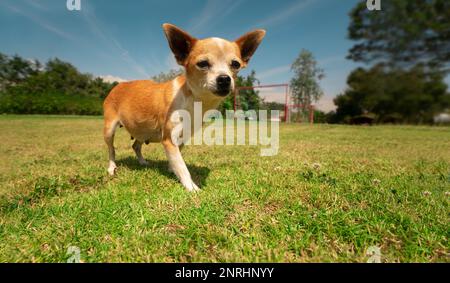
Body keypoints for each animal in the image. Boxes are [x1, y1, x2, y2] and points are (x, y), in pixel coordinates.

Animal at [103, 23, 264, 192]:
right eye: (202, 64)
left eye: (235, 64)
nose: (225, 79)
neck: (196, 100)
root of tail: (117, 85)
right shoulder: (169, 139)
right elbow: (182, 166)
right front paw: (191, 187)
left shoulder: (183, 137)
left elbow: (177, 159)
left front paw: (172, 170)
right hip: (109, 129)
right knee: (112, 149)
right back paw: (111, 168)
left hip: (143, 130)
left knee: (135, 146)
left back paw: (142, 162)